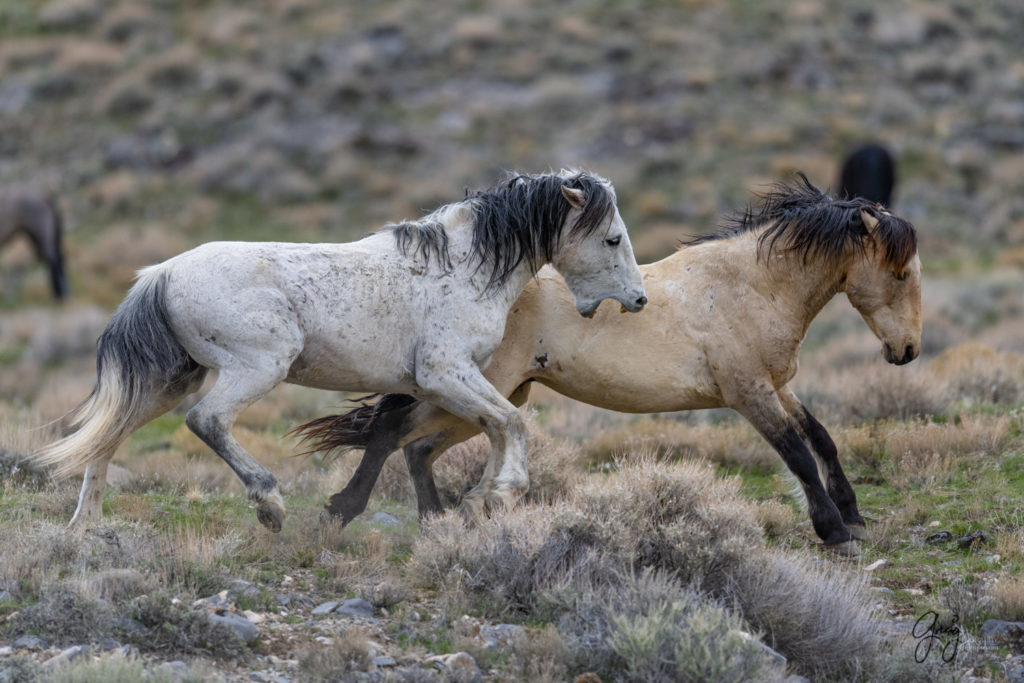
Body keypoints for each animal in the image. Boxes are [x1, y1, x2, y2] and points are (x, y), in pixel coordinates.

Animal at [39, 169, 647, 528]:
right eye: (612, 238)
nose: (638, 299)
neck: (464, 266)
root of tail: (161, 273)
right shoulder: (445, 374)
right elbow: (510, 423)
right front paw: (502, 494)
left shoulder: (453, 384)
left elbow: (493, 426)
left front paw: (481, 501)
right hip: (256, 367)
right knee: (205, 421)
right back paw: (269, 503)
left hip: (171, 380)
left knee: (107, 438)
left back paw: (85, 528)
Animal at [294, 176, 921, 557]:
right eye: (898, 273)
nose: (907, 351)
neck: (748, 285)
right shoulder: (749, 393)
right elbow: (796, 453)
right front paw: (835, 531)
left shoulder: (777, 386)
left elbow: (822, 439)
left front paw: (853, 516)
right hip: (467, 387)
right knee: (394, 433)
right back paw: (351, 510)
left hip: (499, 396)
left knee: (418, 447)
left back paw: (441, 523)